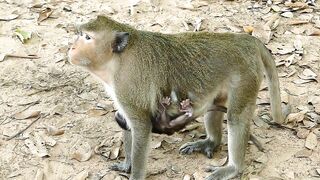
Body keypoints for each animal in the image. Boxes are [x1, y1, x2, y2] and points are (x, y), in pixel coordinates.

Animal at [68, 15, 282, 180]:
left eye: (87, 37)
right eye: (80, 35)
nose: (72, 48)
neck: (118, 60)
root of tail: (245, 39)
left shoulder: (126, 85)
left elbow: (140, 126)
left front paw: (134, 173)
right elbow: (124, 120)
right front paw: (126, 165)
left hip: (246, 76)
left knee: (236, 117)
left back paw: (233, 168)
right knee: (214, 106)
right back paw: (211, 142)